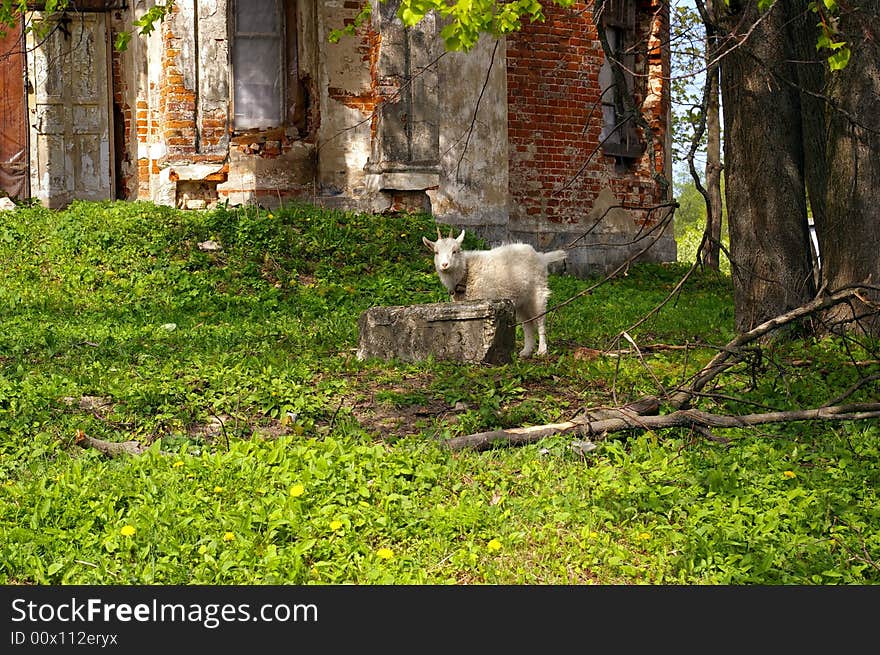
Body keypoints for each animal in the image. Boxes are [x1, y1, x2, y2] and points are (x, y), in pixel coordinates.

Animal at [422, 229, 568, 358]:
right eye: (436, 252)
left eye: (455, 251)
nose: (444, 265)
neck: (466, 273)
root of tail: (540, 256)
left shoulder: (483, 302)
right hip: (522, 300)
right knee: (528, 324)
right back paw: (526, 351)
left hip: (538, 292)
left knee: (540, 320)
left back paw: (542, 350)